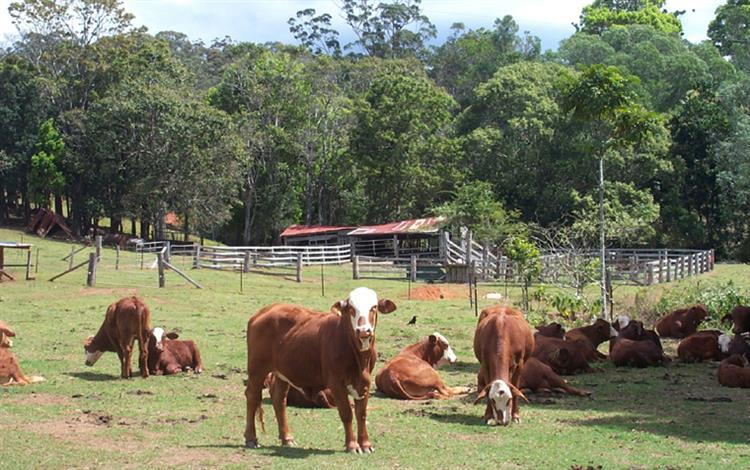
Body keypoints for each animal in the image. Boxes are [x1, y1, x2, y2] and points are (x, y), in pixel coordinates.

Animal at [247, 286, 400, 452]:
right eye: (351, 308)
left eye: (374, 307)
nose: (363, 330)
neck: (359, 359)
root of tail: (265, 311)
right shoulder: (336, 383)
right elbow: (347, 413)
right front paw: (352, 445)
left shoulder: (364, 382)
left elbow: (361, 414)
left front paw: (365, 444)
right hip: (256, 368)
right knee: (252, 396)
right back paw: (251, 439)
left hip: (283, 372)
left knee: (279, 399)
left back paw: (287, 438)